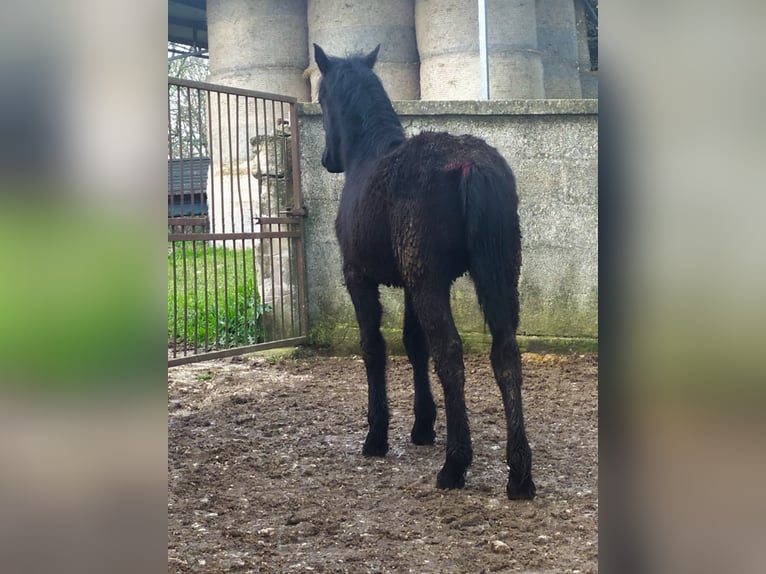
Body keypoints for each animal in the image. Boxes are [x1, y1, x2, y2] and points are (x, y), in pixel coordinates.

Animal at [314, 43, 536, 499]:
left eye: (321, 98)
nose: (327, 160)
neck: (368, 155)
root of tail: (471, 166)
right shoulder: (413, 281)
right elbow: (413, 344)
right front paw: (422, 426)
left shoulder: (359, 277)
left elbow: (374, 346)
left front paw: (377, 435)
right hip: (497, 272)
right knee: (506, 353)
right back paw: (520, 473)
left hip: (430, 279)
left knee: (449, 353)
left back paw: (455, 465)